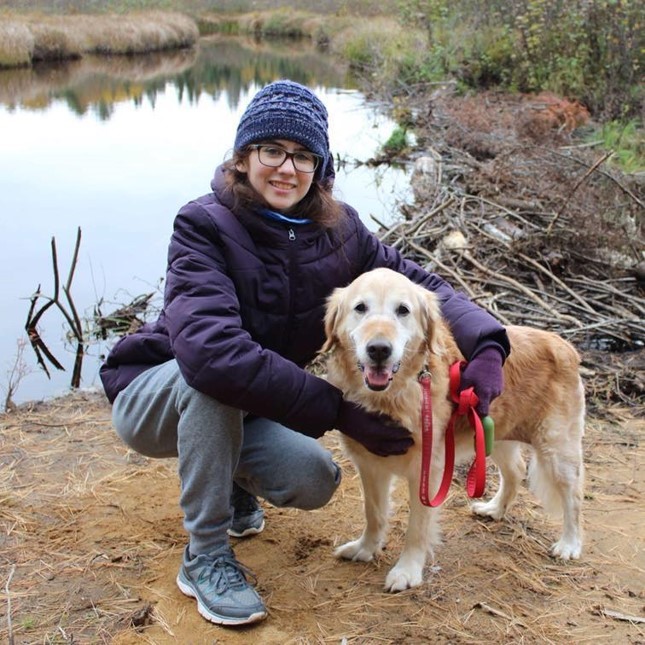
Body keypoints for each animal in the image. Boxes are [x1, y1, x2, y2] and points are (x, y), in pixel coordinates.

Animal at [322, 270, 584, 592]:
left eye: (403, 310)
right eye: (360, 308)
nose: (379, 350)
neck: (394, 395)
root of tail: (563, 344)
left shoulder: (427, 471)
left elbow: (417, 527)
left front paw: (407, 571)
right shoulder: (370, 465)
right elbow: (374, 513)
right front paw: (366, 548)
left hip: (557, 449)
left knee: (573, 496)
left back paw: (569, 544)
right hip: (493, 434)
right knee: (516, 471)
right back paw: (495, 509)